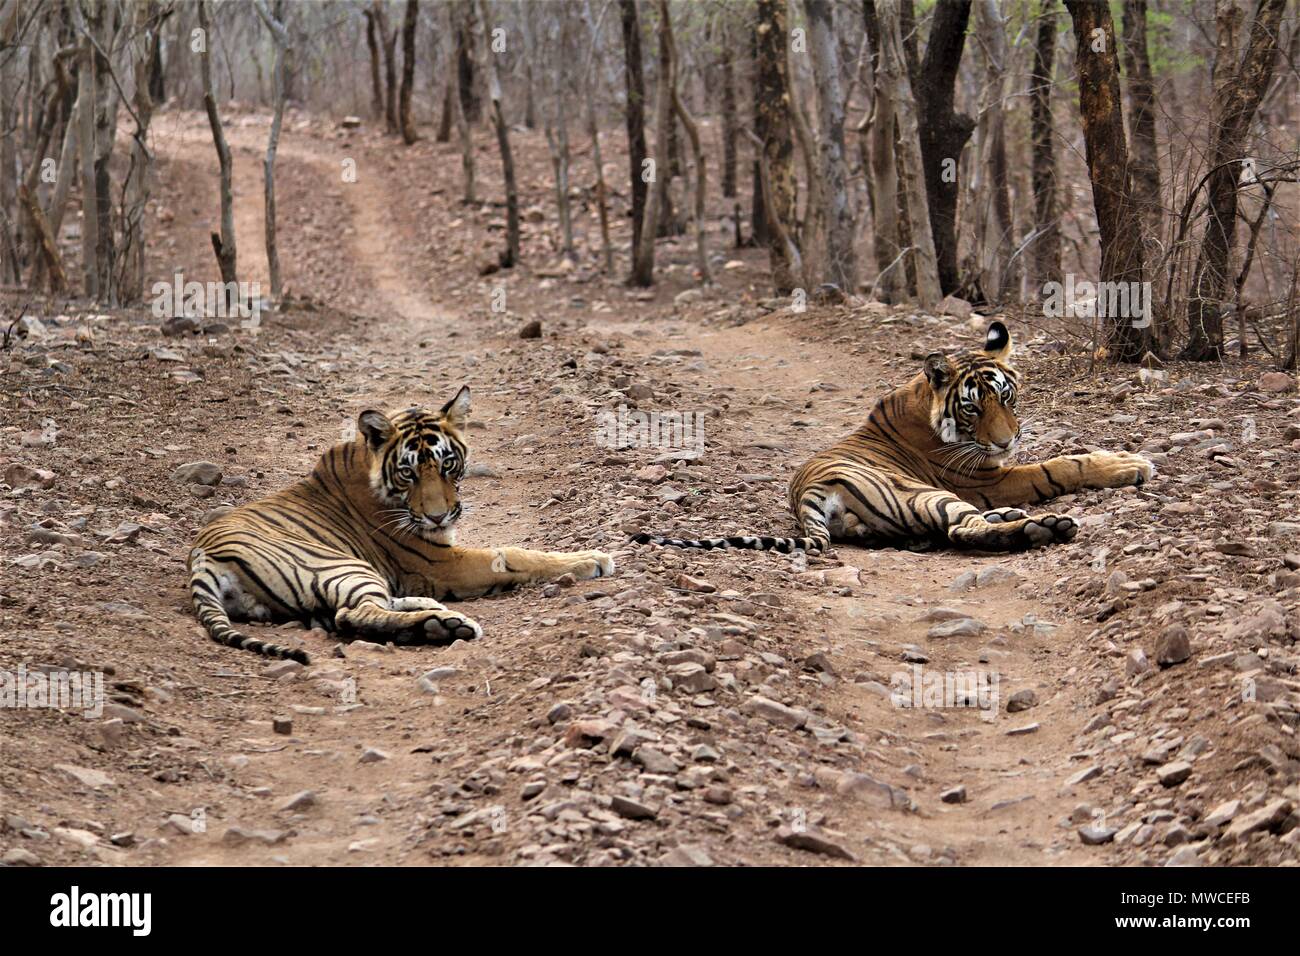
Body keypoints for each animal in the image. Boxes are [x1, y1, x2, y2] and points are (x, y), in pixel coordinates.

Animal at [187, 386, 614, 664]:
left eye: (447, 464)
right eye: (408, 472)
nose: (438, 516)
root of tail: (202, 559)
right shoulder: (441, 562)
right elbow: (514, 555)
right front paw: (592, 559)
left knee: (360, 608)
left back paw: (435, 614)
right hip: (338, 564)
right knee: (352, 614)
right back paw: (442, 627)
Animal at [634, 321, 1154, 555]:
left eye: (1006, 398)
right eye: (972, 407)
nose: (1006, 442)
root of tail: (807, 495)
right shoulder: (985, 478)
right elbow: (1060, 465)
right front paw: (1129, 463)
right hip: (925, 493)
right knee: (962, 529)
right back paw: (1042, 527)